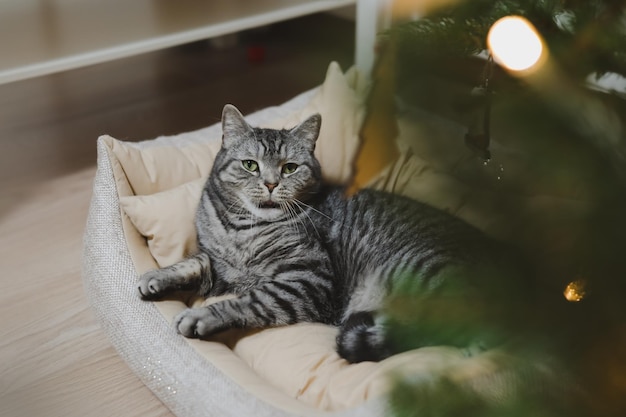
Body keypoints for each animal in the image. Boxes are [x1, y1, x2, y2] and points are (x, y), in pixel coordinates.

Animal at [139, 103, 524, 360]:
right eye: (250, 165)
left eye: (290, 168)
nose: (270, 183)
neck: (242, 229)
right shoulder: (222, 268)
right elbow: (195, 262)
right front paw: (157, 277)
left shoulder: (306, 279)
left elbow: (249, 300)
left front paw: (202, 316)